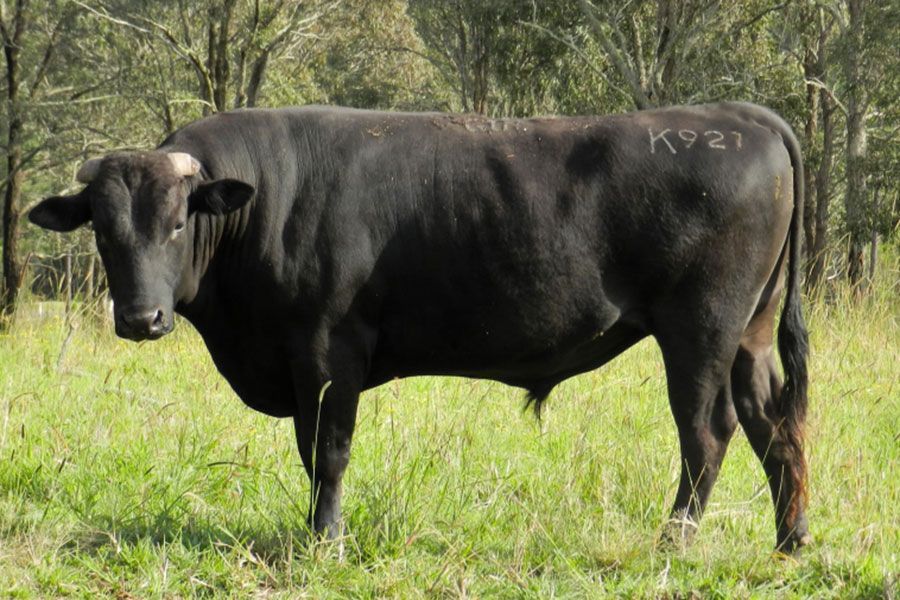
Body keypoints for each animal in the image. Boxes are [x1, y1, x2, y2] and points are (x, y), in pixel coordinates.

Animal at [29, 102, 810, 553]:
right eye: (102, 228)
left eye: (177, 220)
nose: (141, 318)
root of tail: (741, 115)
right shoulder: (301, 364)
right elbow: (312, 454)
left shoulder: (329, 353)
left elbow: (329, 453)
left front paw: (325, 542)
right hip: (749, 335)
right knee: (776, 423)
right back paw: (790, 539)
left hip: (700, 329)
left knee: (708, 431)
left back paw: (673, 542)